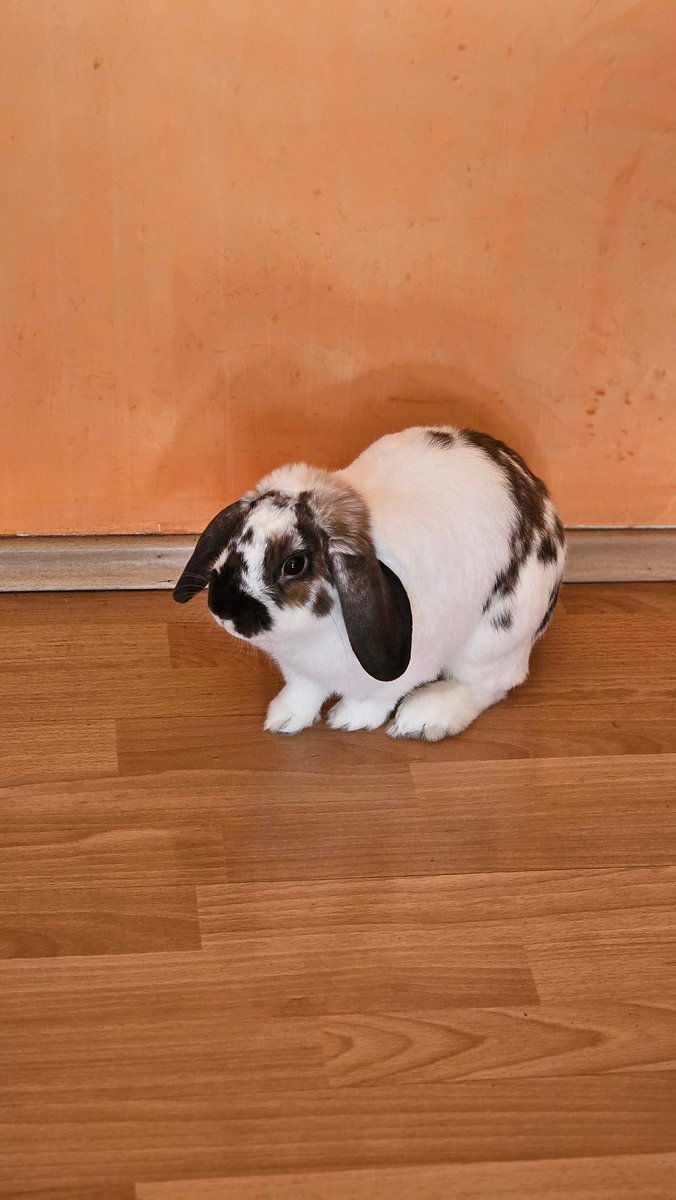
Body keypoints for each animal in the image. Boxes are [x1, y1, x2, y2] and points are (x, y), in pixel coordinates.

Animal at [173, 426, 566, 741]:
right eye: (233, 540)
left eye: (294, 564)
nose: (223, 610)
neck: (312, 636)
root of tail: (539, 493)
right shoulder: (301, 673)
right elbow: (302, 691)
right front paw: (283, 719)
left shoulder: (400, 670)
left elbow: (372, 699)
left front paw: (347, 720)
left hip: (496, 638)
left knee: (488, 685)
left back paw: (422, 719)